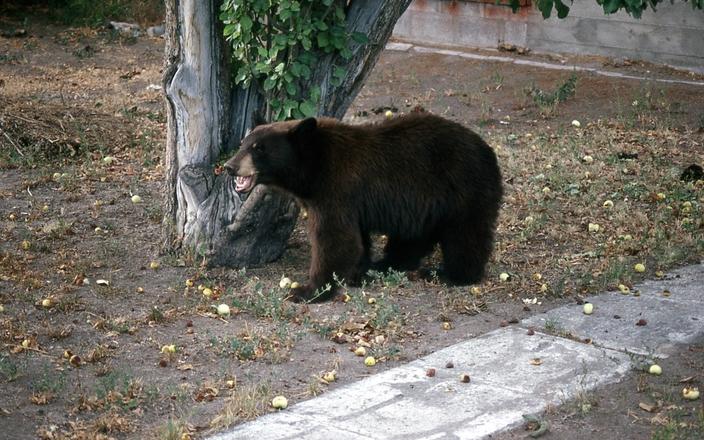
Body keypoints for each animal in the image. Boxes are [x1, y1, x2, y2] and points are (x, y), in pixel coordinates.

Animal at [224, 111, 500, 300]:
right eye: (242, 143)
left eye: (259, 149)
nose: (230, 166)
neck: (314, 166)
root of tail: (487, 150)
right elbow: (357, 238)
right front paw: (358, 272)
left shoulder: (336, 189)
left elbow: (334, 238)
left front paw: (308, 290)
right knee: (414, 236)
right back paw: (387, 264)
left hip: (462, 189)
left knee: (465, 235)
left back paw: (451, 274)